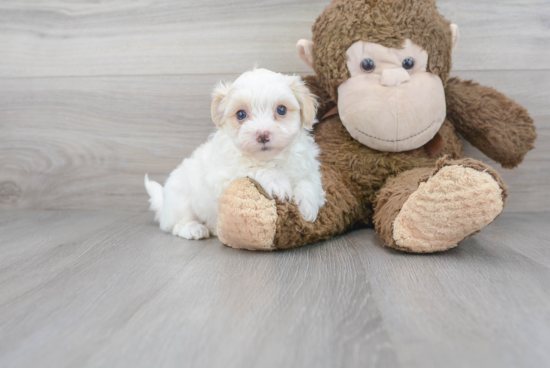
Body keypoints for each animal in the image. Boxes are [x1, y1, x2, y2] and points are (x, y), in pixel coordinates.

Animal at [147, 68, 328, 242]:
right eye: (241, 114)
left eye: (281, 109)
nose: (263, 135)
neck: (270, 159)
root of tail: (164, 204)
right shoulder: (224, 176)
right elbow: (251, 168)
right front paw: (277, 182)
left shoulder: (307, 166)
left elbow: (308, 181)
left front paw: (307, 205)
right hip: (180, 198)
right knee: (176, 224)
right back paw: (194, 229)